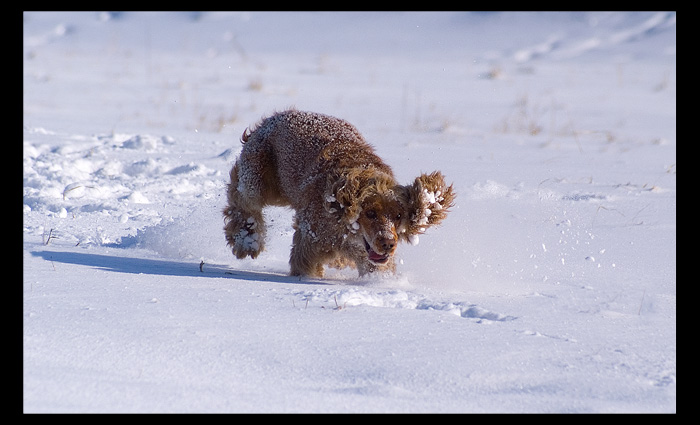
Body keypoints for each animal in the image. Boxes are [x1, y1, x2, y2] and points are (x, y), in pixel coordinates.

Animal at [221, 109, 456, 276]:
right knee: (241, 199)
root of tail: (274, 117)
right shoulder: (309, 246)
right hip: (258, 179)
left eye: (399, 216)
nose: (388, 243)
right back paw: (247, 240)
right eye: (370, 213)